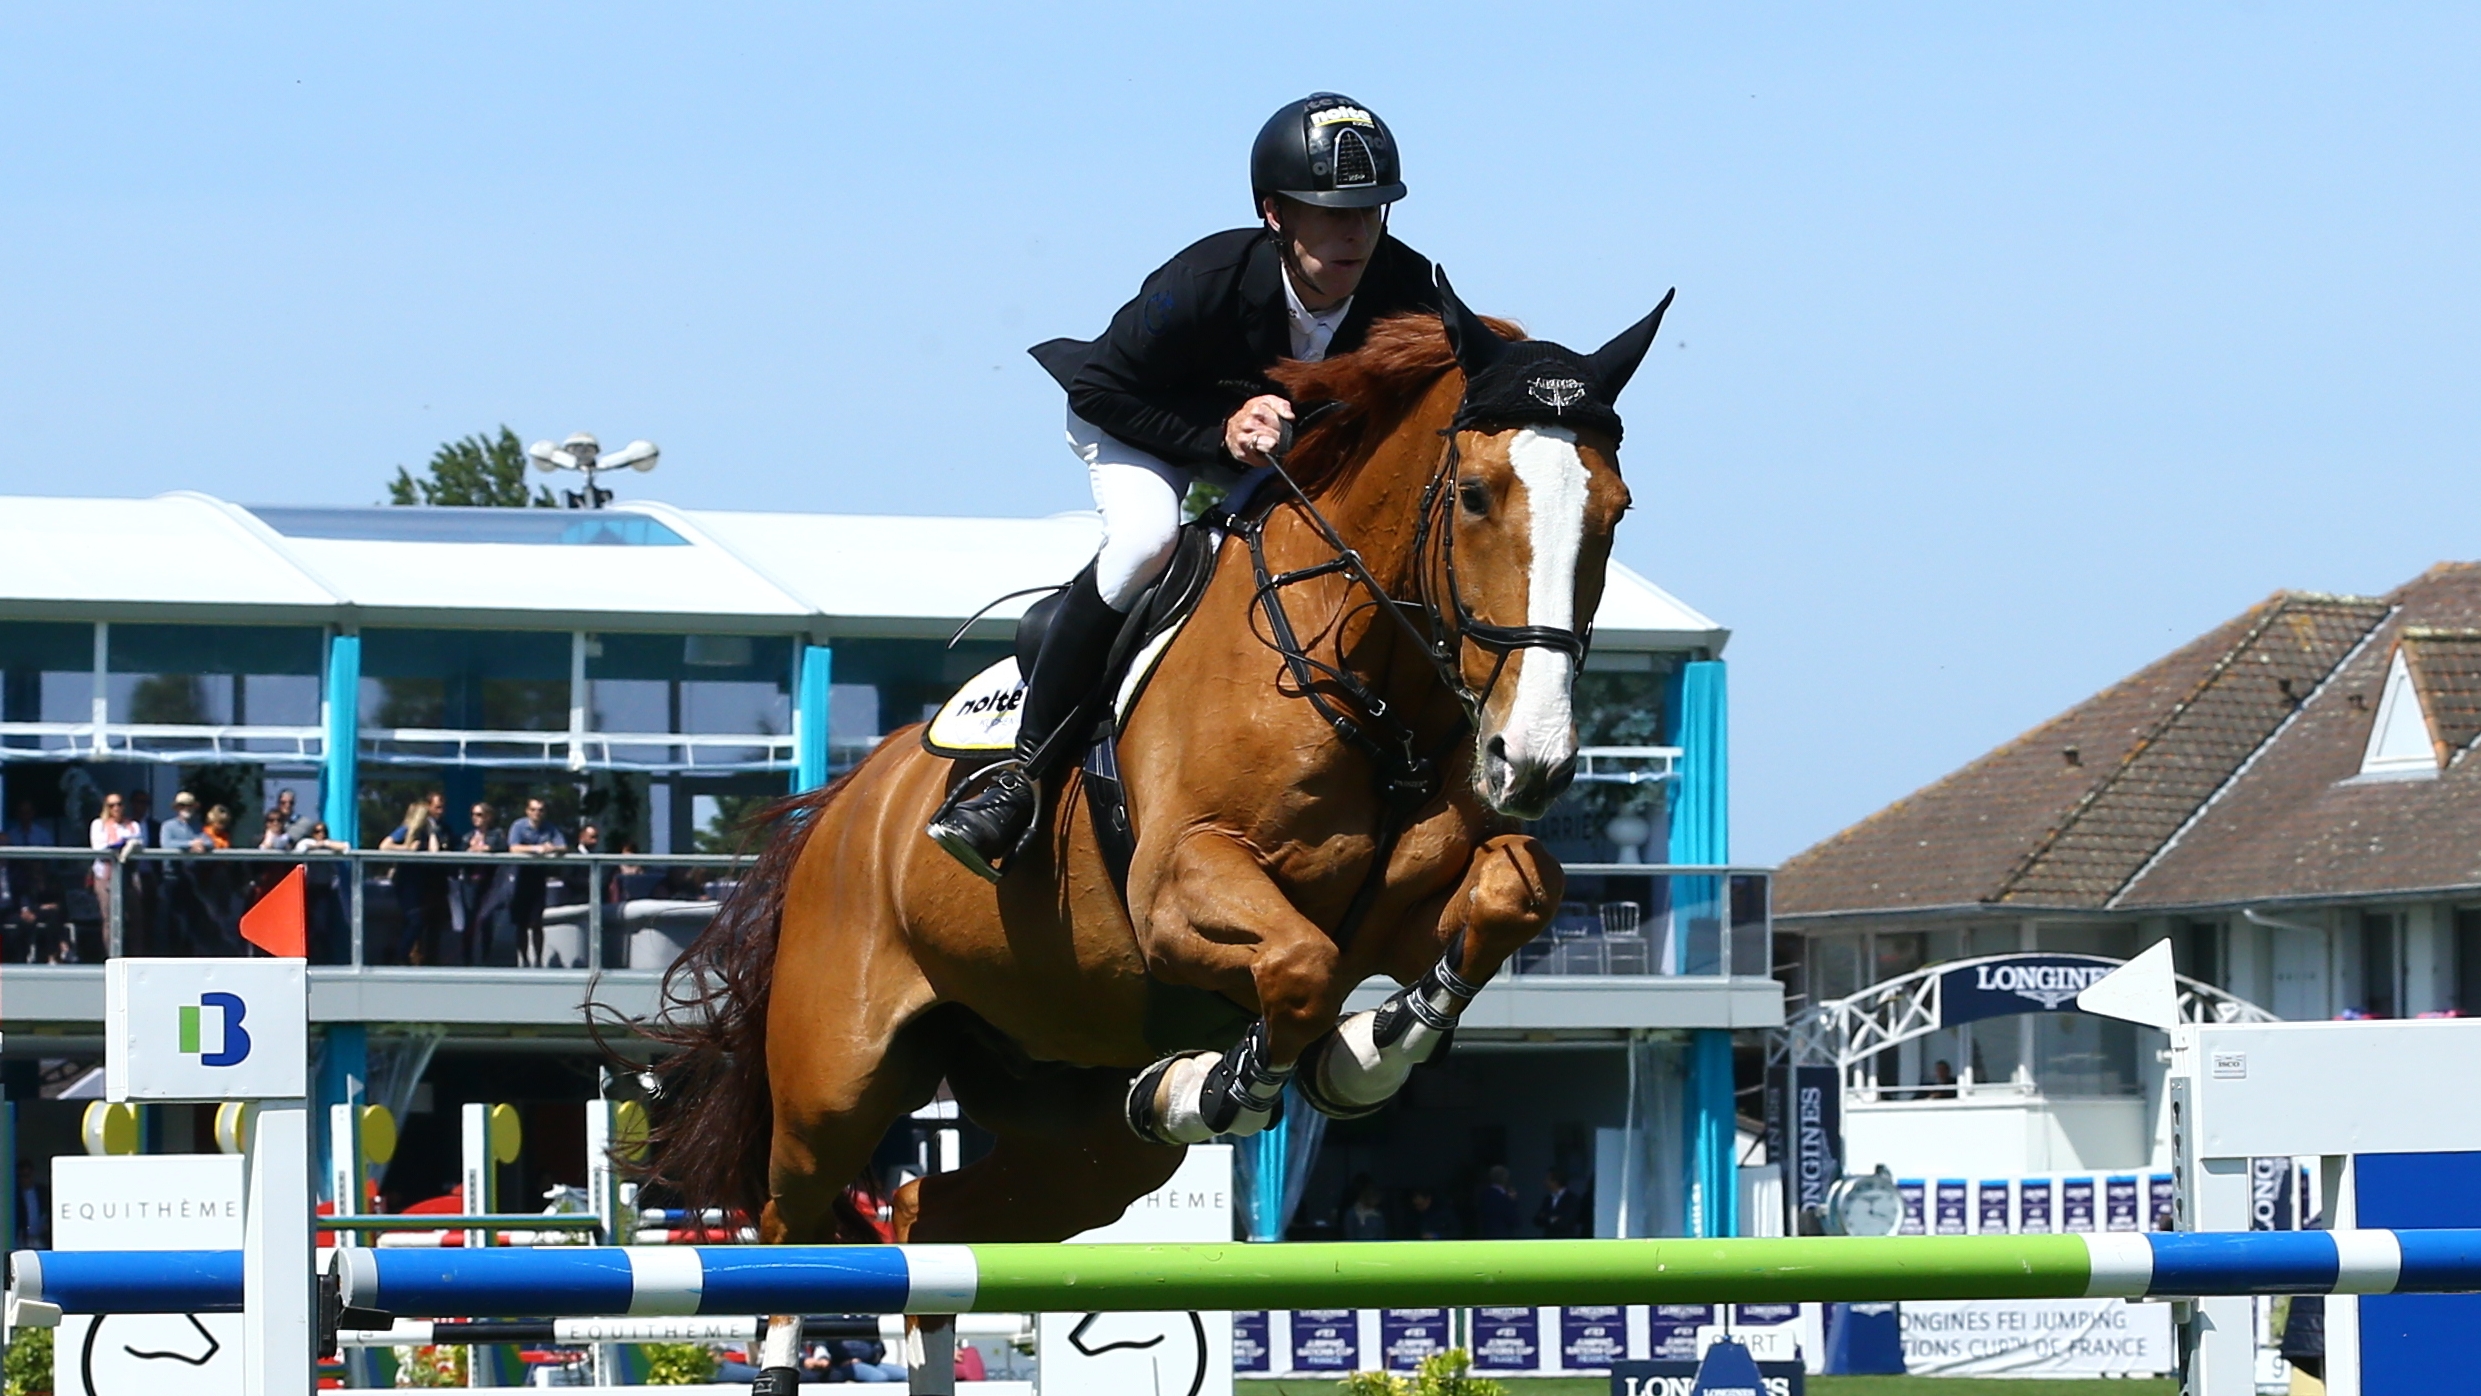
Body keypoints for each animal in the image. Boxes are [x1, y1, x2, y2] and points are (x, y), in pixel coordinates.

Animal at [641, 276, 1672, 1268]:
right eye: (1476, 495)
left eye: (1615, 510)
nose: (1530, 759)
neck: (1368, 690)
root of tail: (840, 809)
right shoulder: (1176, 890)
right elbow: (1300, 965)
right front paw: (1228, 1083)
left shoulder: (1401, 913)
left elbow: (1516, 891)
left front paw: (1366, 1049)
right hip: (835, 1085)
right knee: (791, 1222)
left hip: (1069, 1127)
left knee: (930, 1215)